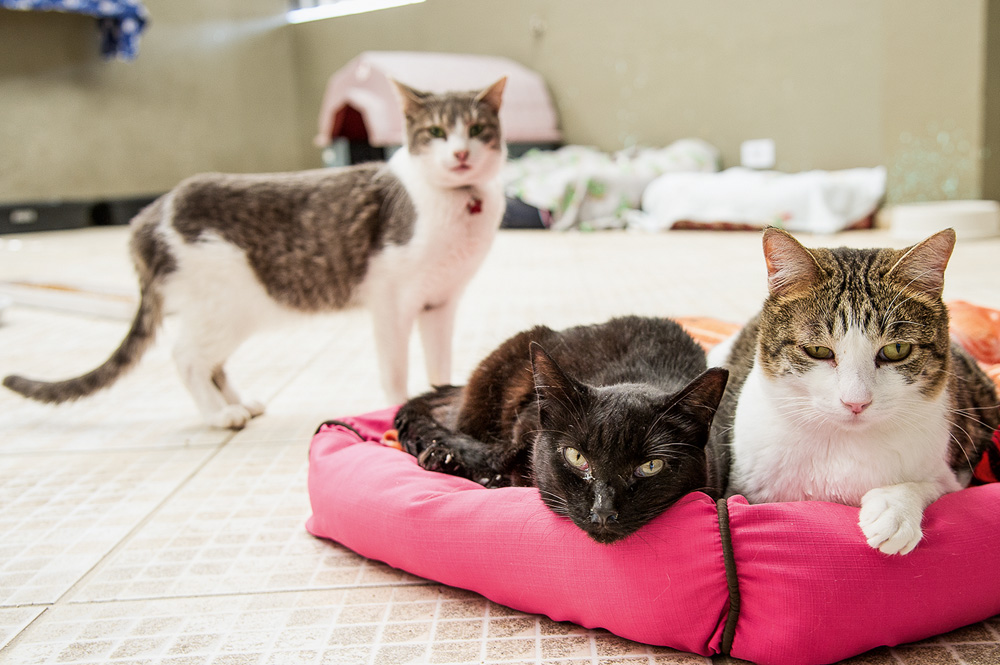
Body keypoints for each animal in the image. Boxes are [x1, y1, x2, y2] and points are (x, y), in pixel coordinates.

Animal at [3, 78, 508, 428]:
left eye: (477, 130)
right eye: (437, 132)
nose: (460, 154)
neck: (457, 204)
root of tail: (151, 212)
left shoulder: (440, 303)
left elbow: (439, 362)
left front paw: (442, 390)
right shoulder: (391, 302)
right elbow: (395, 367)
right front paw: (397, 401)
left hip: (232, 313)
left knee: (211, 363)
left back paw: (240, 403)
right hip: (222, 306)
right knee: (186, 357)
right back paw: (219, 416)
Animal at [394, 314, 732, 544]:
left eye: (650, 466)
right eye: (576, 457)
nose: (603, 512)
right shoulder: (525, 428)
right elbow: (503, 458)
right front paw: (456, 461)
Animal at [708, 228, 996, 556]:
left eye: (897, 349)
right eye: (817, 350)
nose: (856, 402)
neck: (843, 444)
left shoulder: (953, 472)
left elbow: (938, 487)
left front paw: (896, 509)